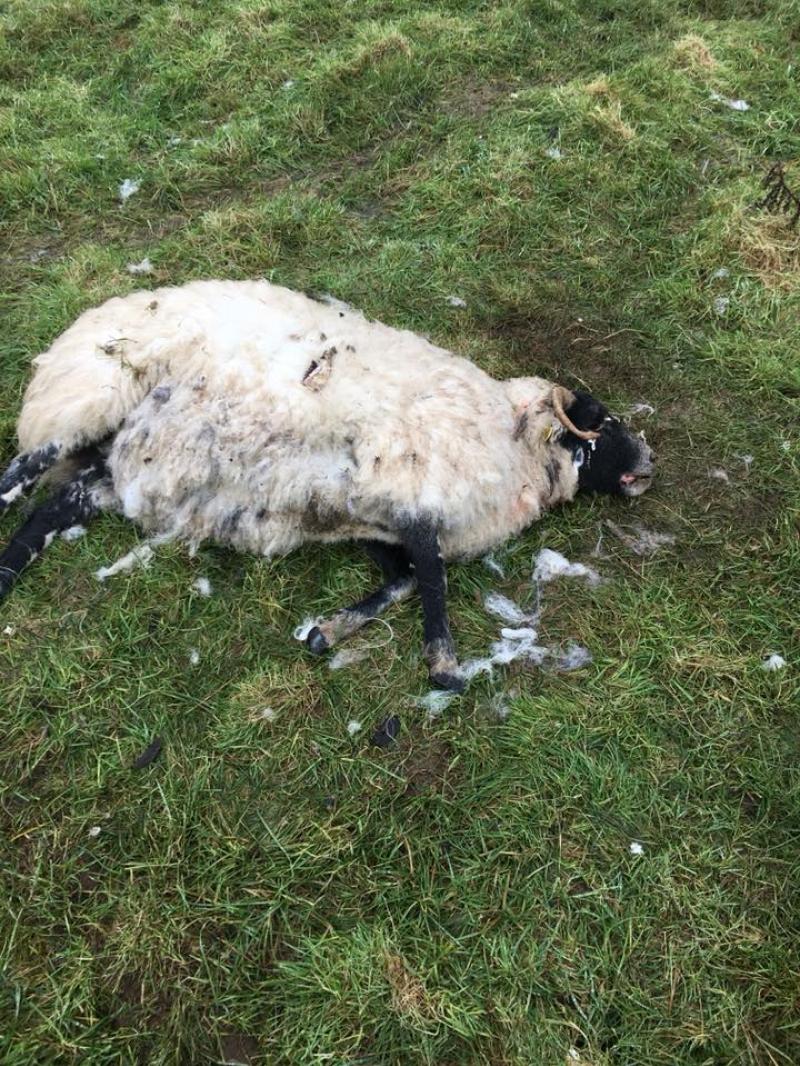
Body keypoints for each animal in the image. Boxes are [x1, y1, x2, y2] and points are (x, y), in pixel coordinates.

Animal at [0, 280, 655, 689]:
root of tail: (77, 332)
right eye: (604, 421)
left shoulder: (378, 516)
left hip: (113, 468)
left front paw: (327, 631)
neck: (512, 443)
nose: (649, 463)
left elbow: (403, 582)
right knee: (18, 475)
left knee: (48, 511)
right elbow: (432, 587)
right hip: (95, 397)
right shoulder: (418, 494)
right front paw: (445, 669)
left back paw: (7, 574)